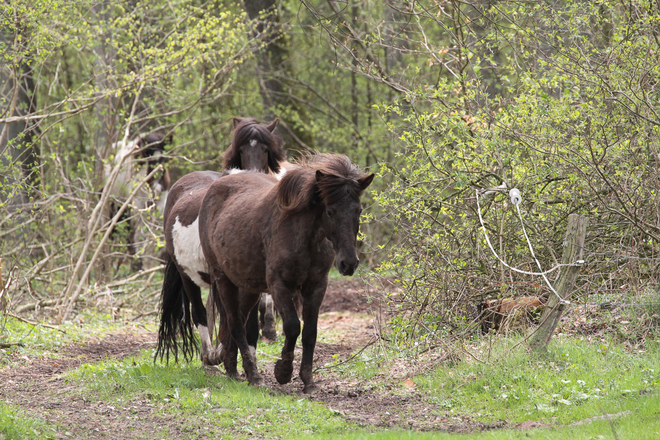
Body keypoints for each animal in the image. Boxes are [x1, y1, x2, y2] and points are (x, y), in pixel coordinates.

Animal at [157, 117, 286, 364]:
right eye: (241, 149)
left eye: (266, 150)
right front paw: (225, 353)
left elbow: (249, 321)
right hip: (187, 275)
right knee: (199, 312)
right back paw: (209, 356)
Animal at [196, 154, 374, 392]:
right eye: (330, 211)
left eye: (359, 211)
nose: (349, 263)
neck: (304, 237)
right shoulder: (279, 286)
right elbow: (292, 327)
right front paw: (283, 371)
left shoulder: (317, 286)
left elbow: (310, 332)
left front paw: (308, 381)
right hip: (223, 279)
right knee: (235, 323)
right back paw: (253, 376)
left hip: (249, 286)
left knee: (238, 320)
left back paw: (233, 369)